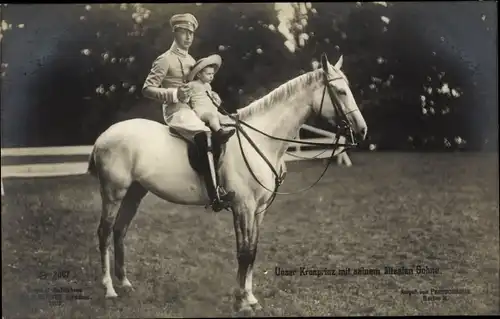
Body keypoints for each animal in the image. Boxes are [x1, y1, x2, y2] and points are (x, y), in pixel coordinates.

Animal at [87, 54, 368, 316]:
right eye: (340, 91)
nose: (362, 130)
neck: (259, 140)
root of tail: (103, 136)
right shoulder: (243, 207)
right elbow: (243, 252)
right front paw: (241, 302)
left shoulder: (258, 210)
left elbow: (252, 250)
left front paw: (250, 298)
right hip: (113, 192)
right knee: (104, 232)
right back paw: (109, 289)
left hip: (135, 192)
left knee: (120, 231)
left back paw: (125, 284)